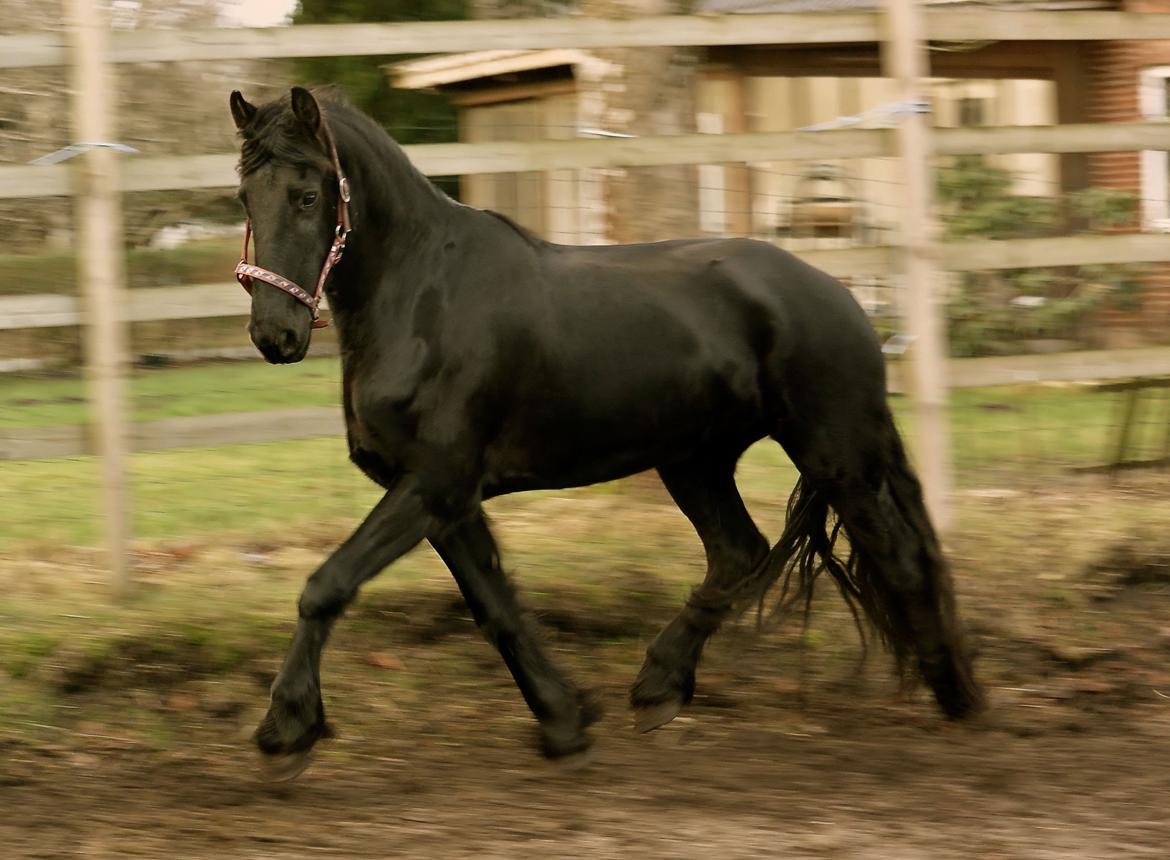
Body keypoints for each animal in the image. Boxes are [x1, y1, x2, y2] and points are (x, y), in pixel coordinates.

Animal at [228, 86, 978, 781]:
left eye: (306, 195)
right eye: (245, 197)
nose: (275, 336)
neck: (422, 301)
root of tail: (839, 295)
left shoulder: (434, 483)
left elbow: (326, 585)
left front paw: (286, 733)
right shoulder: (447, 502)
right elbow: (497, 609)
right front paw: (564, 724)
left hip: (835, 451)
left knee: (899, 559)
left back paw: (960, 700)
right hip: (696, 461)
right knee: (740, 553)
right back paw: (658, 689)